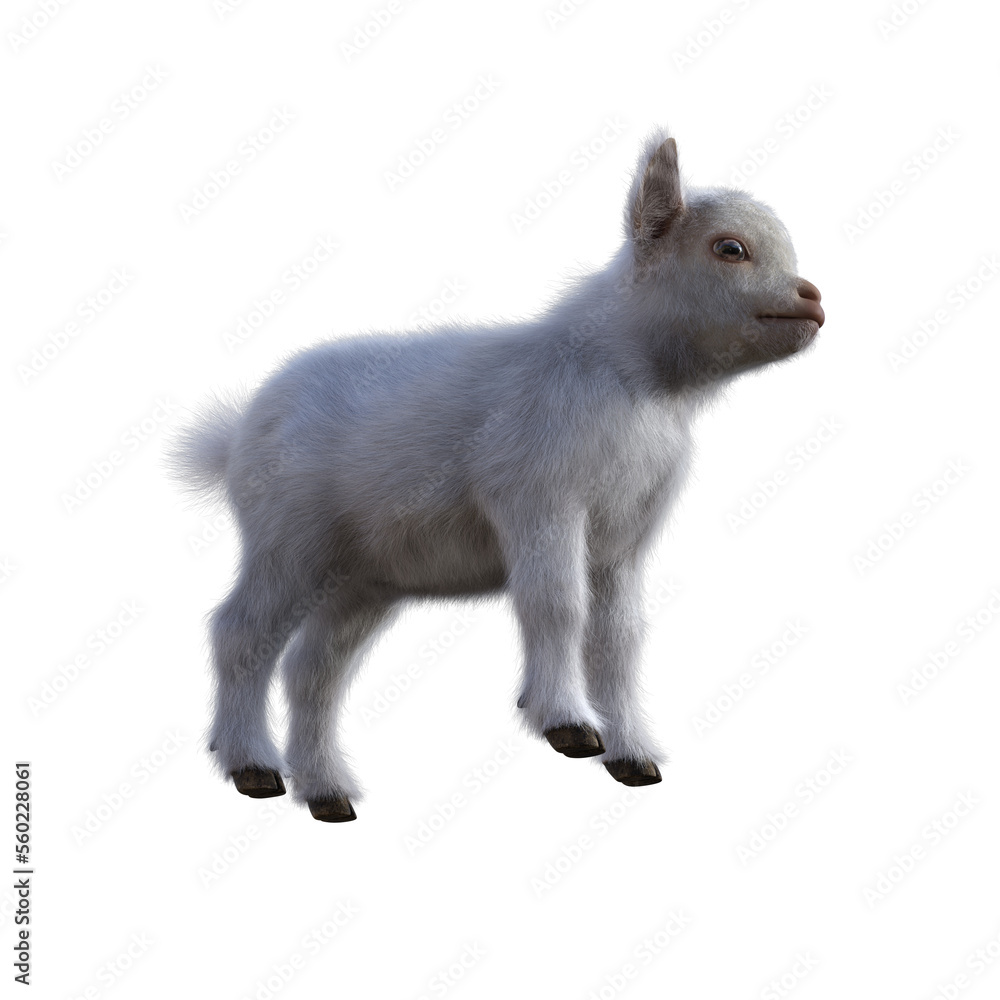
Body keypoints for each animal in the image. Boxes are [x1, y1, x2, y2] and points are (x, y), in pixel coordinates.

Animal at [170, 129, 824, 822]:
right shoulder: (539, 497)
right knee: (239, 635)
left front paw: (634, 759)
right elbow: (557, 603)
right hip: (286, 538)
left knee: (312, 671)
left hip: (361, 581)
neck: (637, 386)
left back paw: (328, 795)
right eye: (730, 248)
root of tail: (234, 438)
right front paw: (569, 728)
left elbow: (619, 641)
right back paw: (253, 769)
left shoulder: (624, 537)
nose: (811, 298)